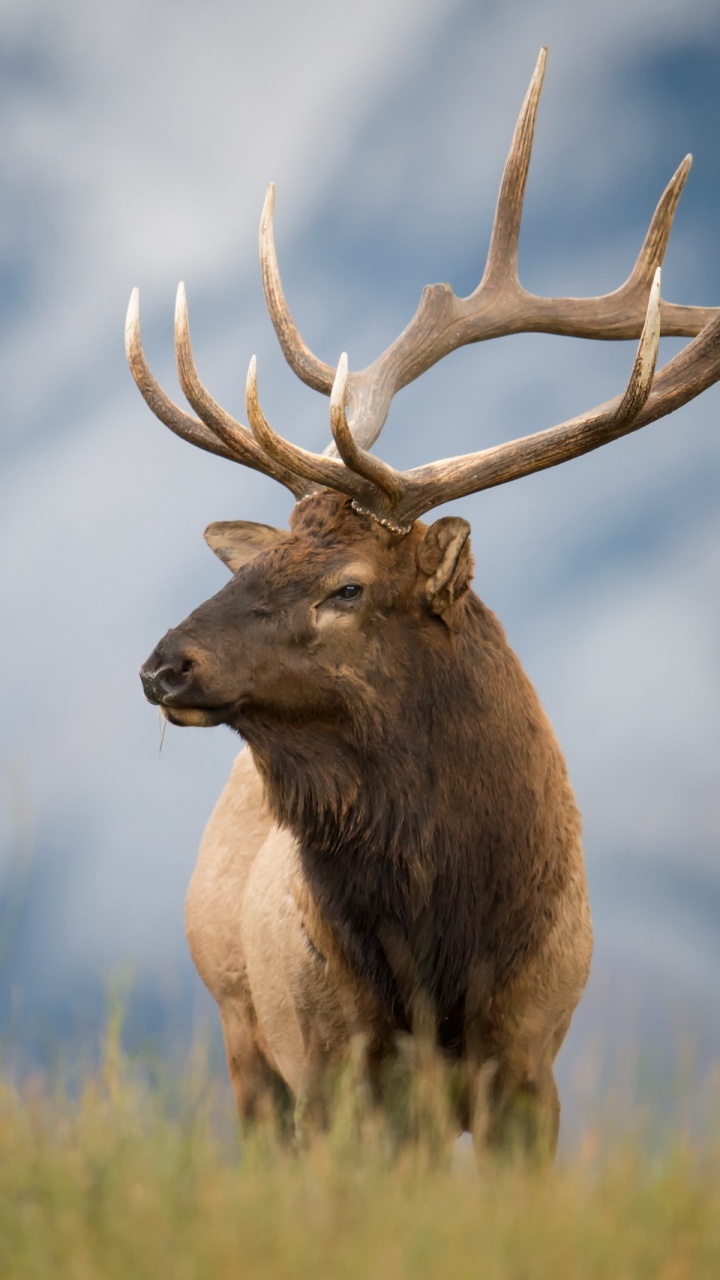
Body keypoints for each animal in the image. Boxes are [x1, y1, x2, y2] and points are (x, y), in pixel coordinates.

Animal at [129, 50, 720, 1156]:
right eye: (253, 566)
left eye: (347, 587)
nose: (162, 665)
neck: (443, 958)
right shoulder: (328, 1063)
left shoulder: (532, 1058)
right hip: (242, 1037)